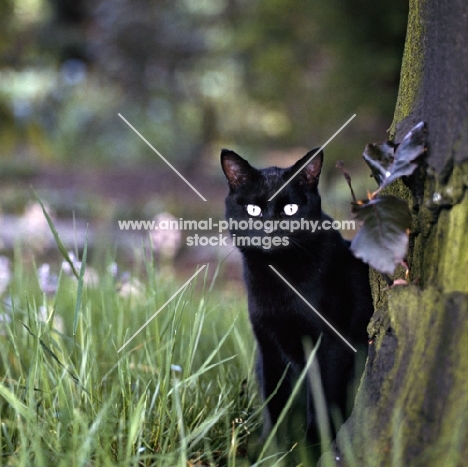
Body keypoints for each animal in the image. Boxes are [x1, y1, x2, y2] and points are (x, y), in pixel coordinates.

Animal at [221, 148, 374, 452]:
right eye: (253, 210)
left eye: (290, 209)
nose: (270, 228)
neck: (278, 279)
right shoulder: (268, 346)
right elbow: (274, 400)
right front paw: (272, 450)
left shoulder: (330, 344)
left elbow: (322, 399)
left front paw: (315, 450)